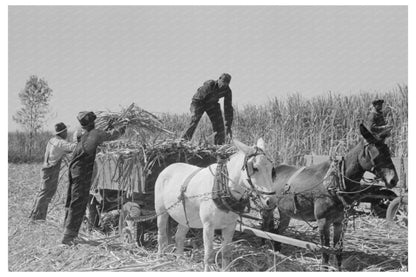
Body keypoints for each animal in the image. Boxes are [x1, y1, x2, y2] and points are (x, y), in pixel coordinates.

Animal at [154, 138, 278, 270]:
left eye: (272, 169)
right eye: (254, 168)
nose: (271, 200)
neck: (223, 190)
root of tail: (168, 167)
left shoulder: (230, 225)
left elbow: (226, 252)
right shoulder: (209, 226)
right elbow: (209, 254)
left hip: (185, 217)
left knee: (179, 237)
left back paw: (179, 261)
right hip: (161, 212)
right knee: (161, 236)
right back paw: (159, 260)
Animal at [264, 123, 398, 270]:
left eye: (388, 151)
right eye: (375, 153)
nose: (393, 180)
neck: (334, 183)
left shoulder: (340, 221)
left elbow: (338, 249)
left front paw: (338, 268)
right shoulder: (323, 221)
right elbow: (326, 250)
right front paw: (324, 268)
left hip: (285, 212)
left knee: (277, 231)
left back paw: (277, 250)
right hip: (267, 207)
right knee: (266, 226)